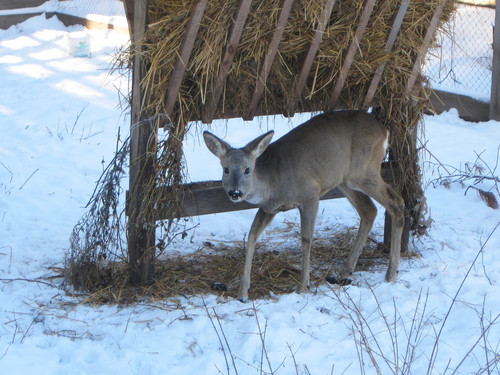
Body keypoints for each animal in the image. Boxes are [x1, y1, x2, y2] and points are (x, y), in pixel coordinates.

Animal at [205, 109, 404, 302]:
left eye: (247, 169)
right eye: (225, 169)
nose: (235, 192)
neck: (274, 181)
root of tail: (384, 130)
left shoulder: (310, 195)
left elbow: (306, 238)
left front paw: (303, 286)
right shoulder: (268, 209)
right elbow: (252, 236)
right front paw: (242, 292)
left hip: (364, 171)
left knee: (397, 202)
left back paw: (391, 273)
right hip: (343, 179)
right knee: (369, 210)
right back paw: (344, 272)